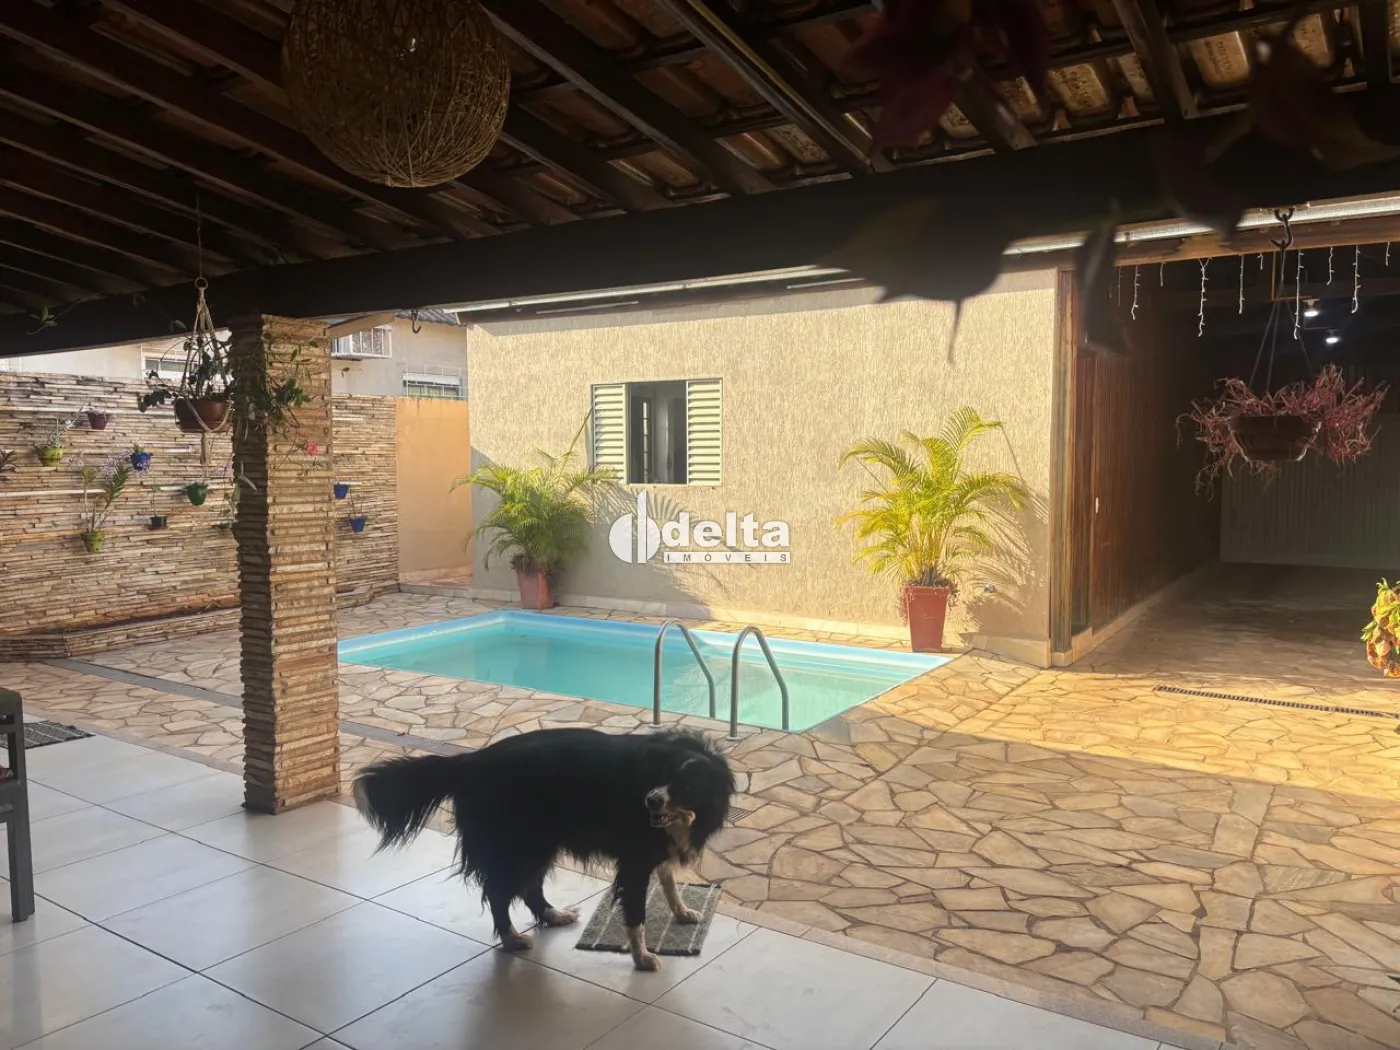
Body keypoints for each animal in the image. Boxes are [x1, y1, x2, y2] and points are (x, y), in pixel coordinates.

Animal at [353, 727, 735, 971]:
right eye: (664, 777)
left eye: (686, 786)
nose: (650, 799)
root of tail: (471, 761)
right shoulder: (635, 855)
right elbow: (636, 911)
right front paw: (642, 958)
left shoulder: (657, 842)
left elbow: (668, 879)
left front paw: (683, 912)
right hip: (521, 841)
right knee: (499, 891)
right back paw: (512, 939)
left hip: (540, 839)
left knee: (529, 886)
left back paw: (554, 915)